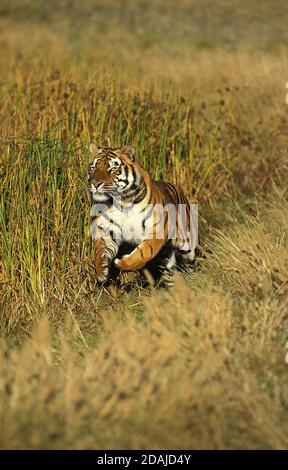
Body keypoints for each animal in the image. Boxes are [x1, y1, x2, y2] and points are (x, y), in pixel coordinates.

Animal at [86, 143, 197, 284]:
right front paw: (101, 271)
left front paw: (123, 263)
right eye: (93, 168)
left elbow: (145, 251)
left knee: (192, 260)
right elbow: (100, 250)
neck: (122, 202)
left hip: (188, 244)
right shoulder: (107, 228)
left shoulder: (157, 229)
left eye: (113, 168)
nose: (95, 183)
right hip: (166, 257)